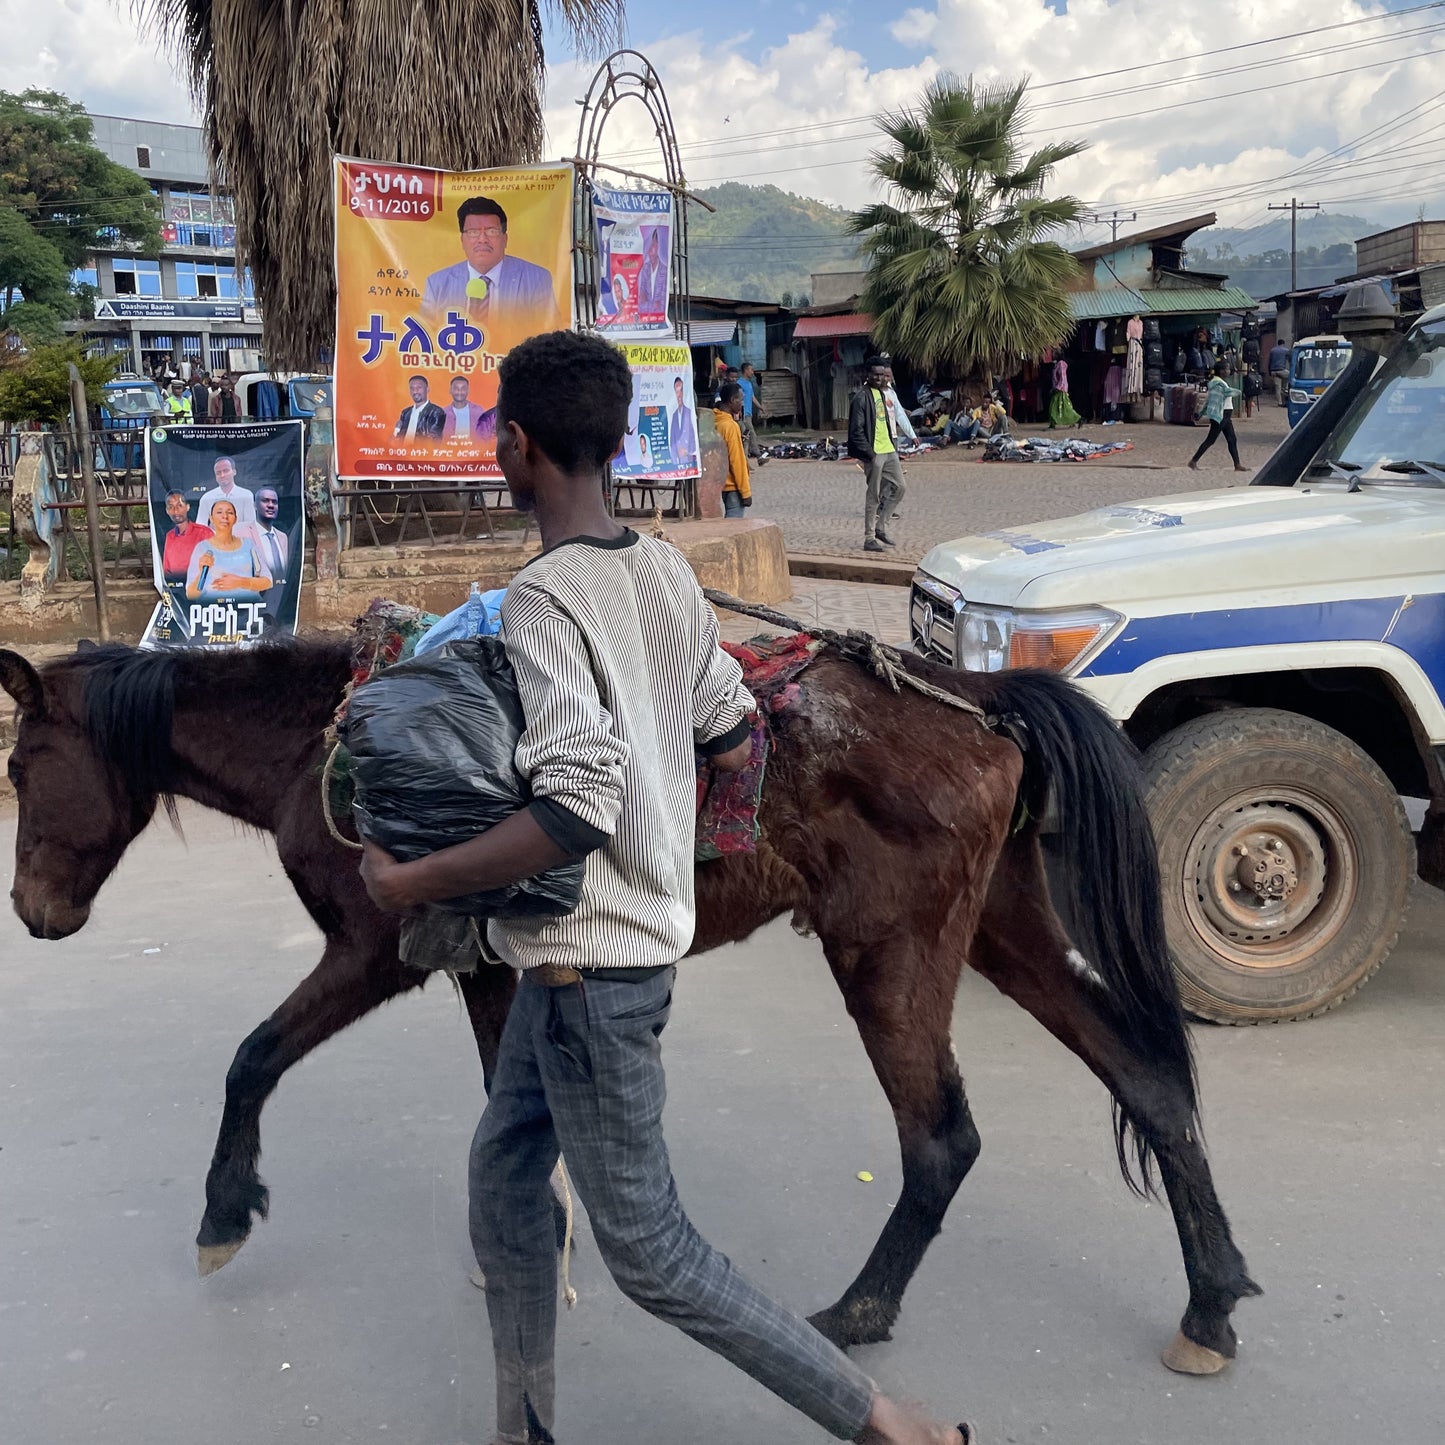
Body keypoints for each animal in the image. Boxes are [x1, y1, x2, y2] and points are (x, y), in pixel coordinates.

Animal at [0, 638, 1260, 1369]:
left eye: (15, 767)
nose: (31, 912)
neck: (330, 733)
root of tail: (979, 694)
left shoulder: (371, 951)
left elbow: (251, 1057)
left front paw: (223, 1211)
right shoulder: (484, 965)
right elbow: (501, 1112)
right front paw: (530, 1244)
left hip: (887, 954)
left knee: (940, 1138)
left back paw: (856, 1313)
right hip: (1000, 929)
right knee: (1147, 1080)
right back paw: (1207, 1303)